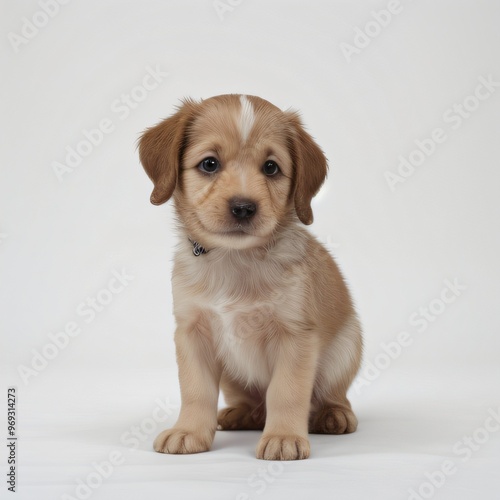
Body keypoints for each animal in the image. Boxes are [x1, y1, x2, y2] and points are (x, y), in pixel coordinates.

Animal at [139, 94, 362, 460]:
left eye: (271, 167)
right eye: (210, 164)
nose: (243, 207)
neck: (235, 259)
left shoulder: (295, 336)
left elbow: (286, 392)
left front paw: (284, 436)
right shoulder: (192, 333)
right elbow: (195, 391)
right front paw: (189, 431)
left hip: (345, 351)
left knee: (330, 396)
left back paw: (334, 414)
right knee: (253, 401)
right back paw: (243, 413)